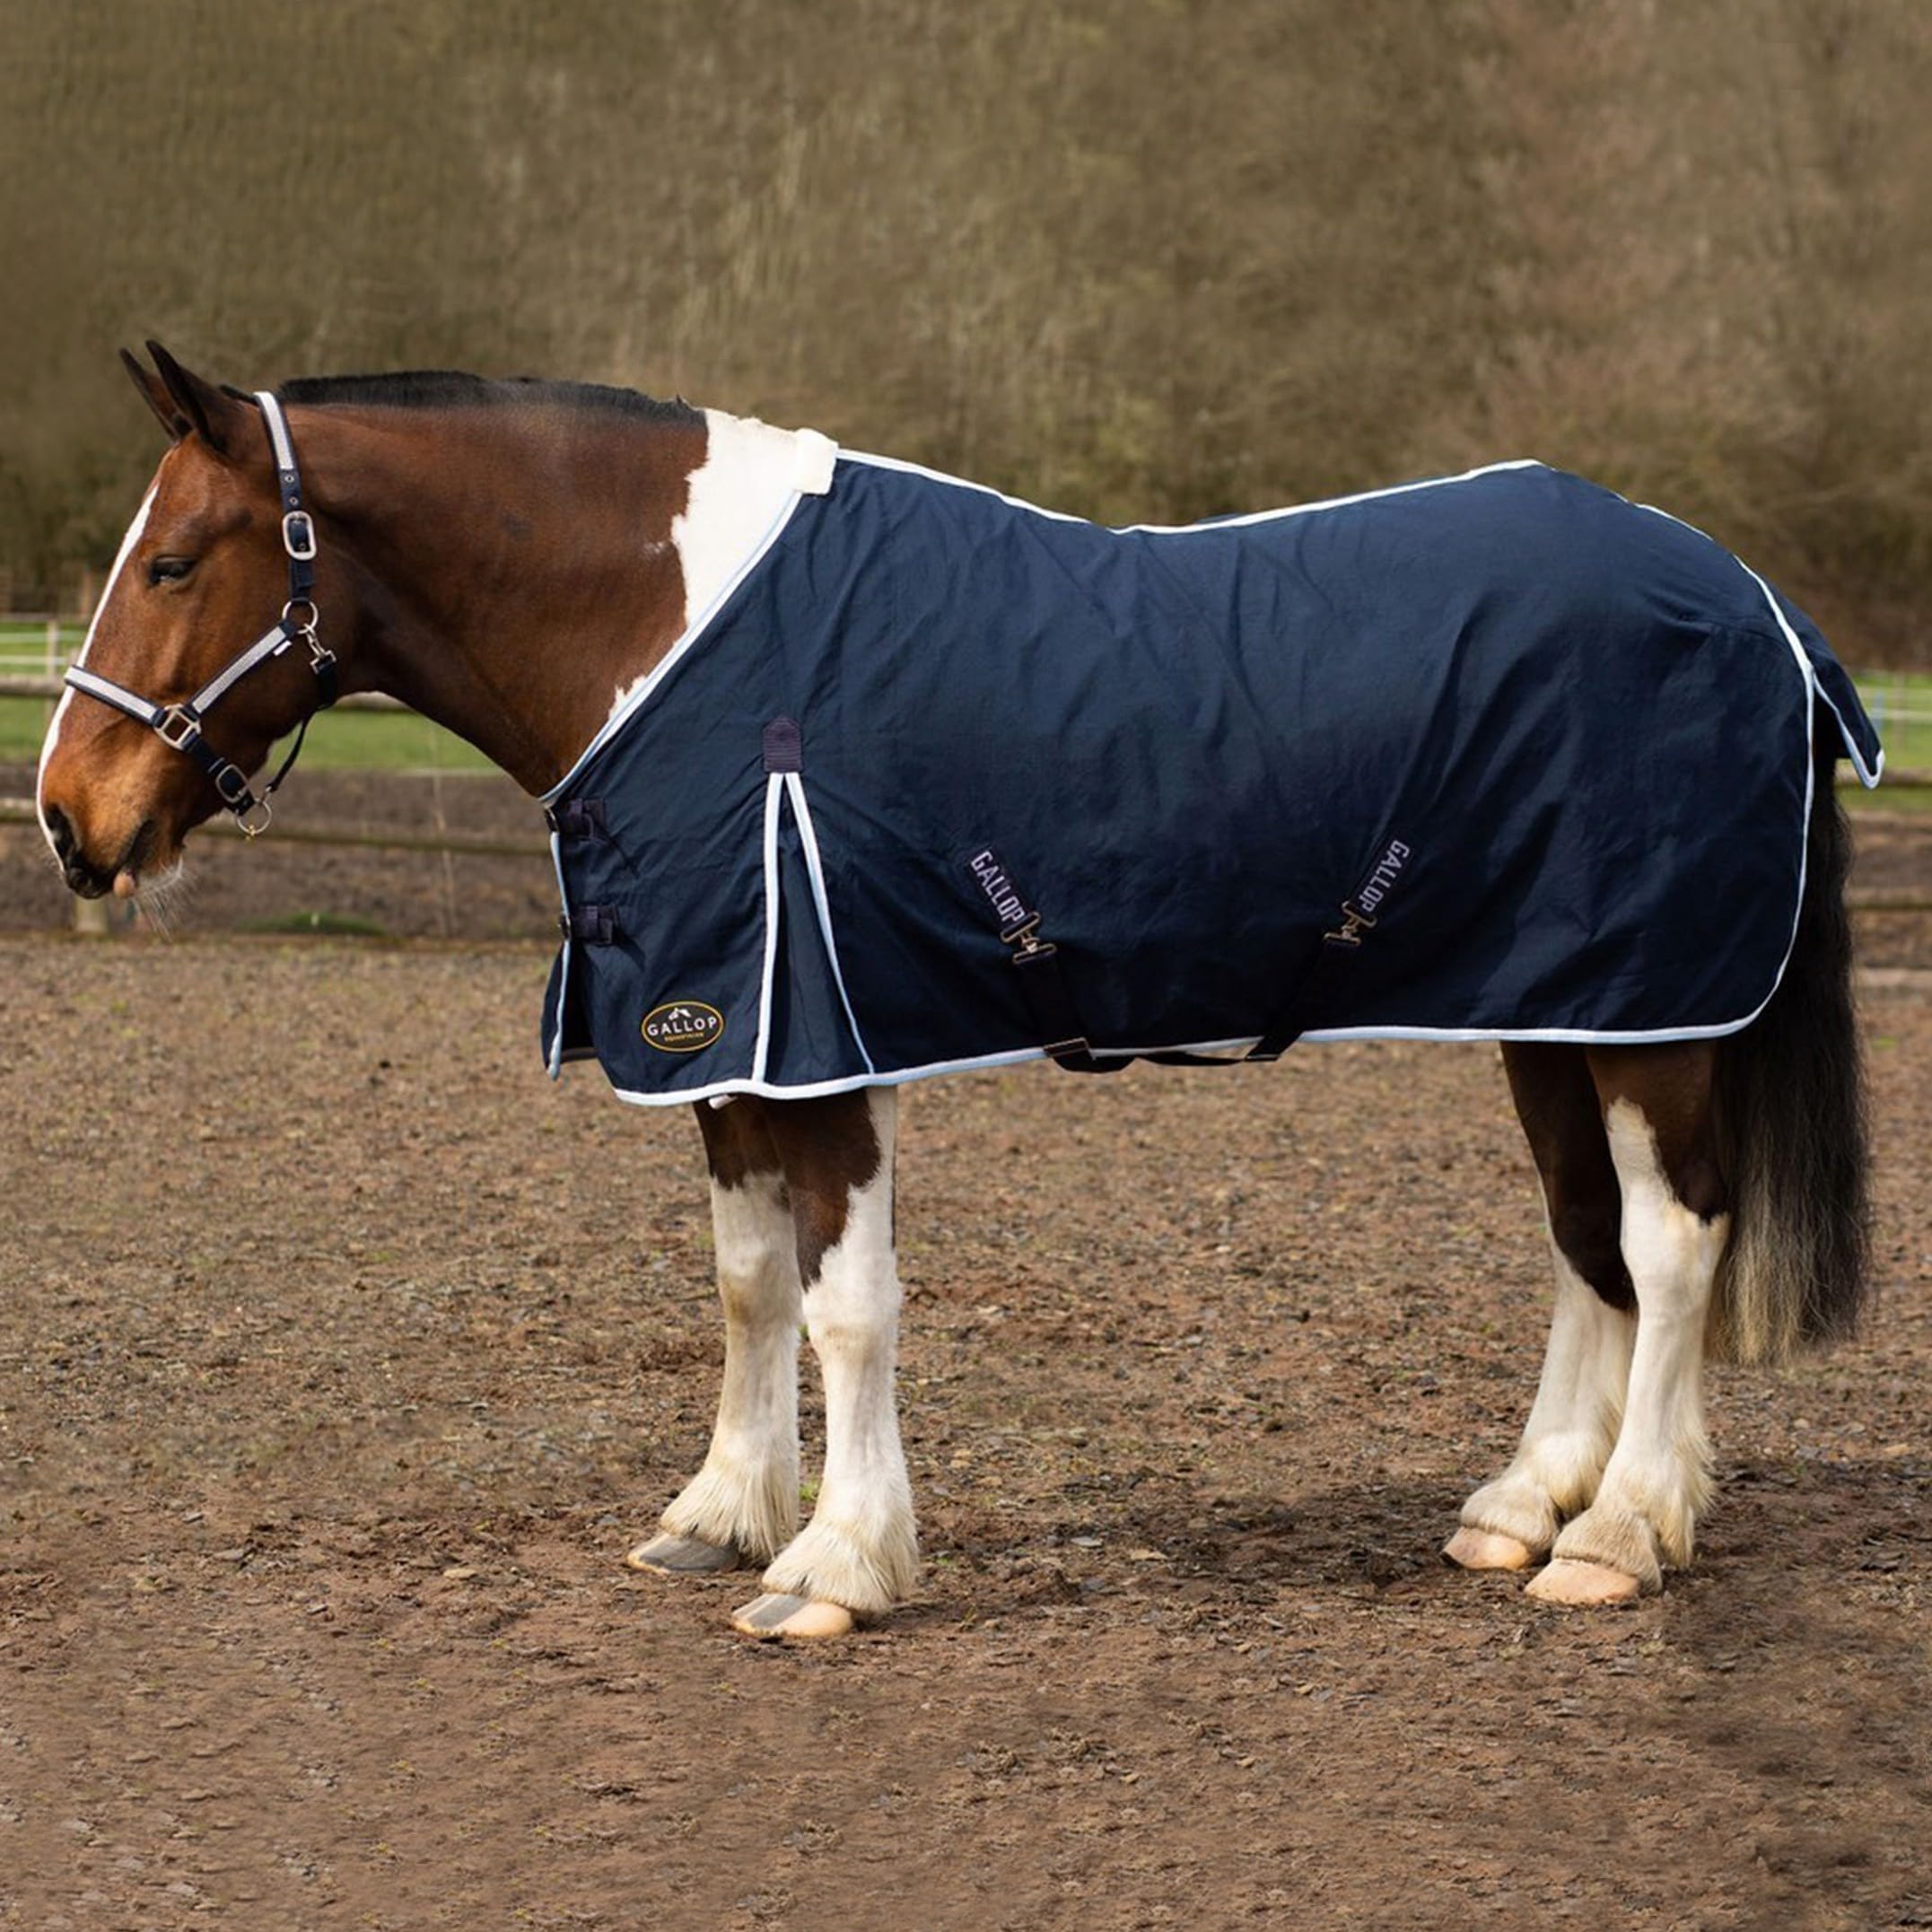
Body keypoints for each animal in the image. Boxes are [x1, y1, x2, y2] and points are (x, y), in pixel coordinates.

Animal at [36, 343, 1879, 1641]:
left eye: (178, 560)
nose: (68, 817)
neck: (676, 637)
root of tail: (1756, 605)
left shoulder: (815, 1035)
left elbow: (846, 1301)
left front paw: (836, 1561)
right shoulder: (724, 1042)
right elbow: (745, 1283)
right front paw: (721, 1513)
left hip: (1649, 1016)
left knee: (1670, 1239)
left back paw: (1621, 1533)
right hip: (1566, 1005)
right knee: (1589, 1237)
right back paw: (1526, 1505)